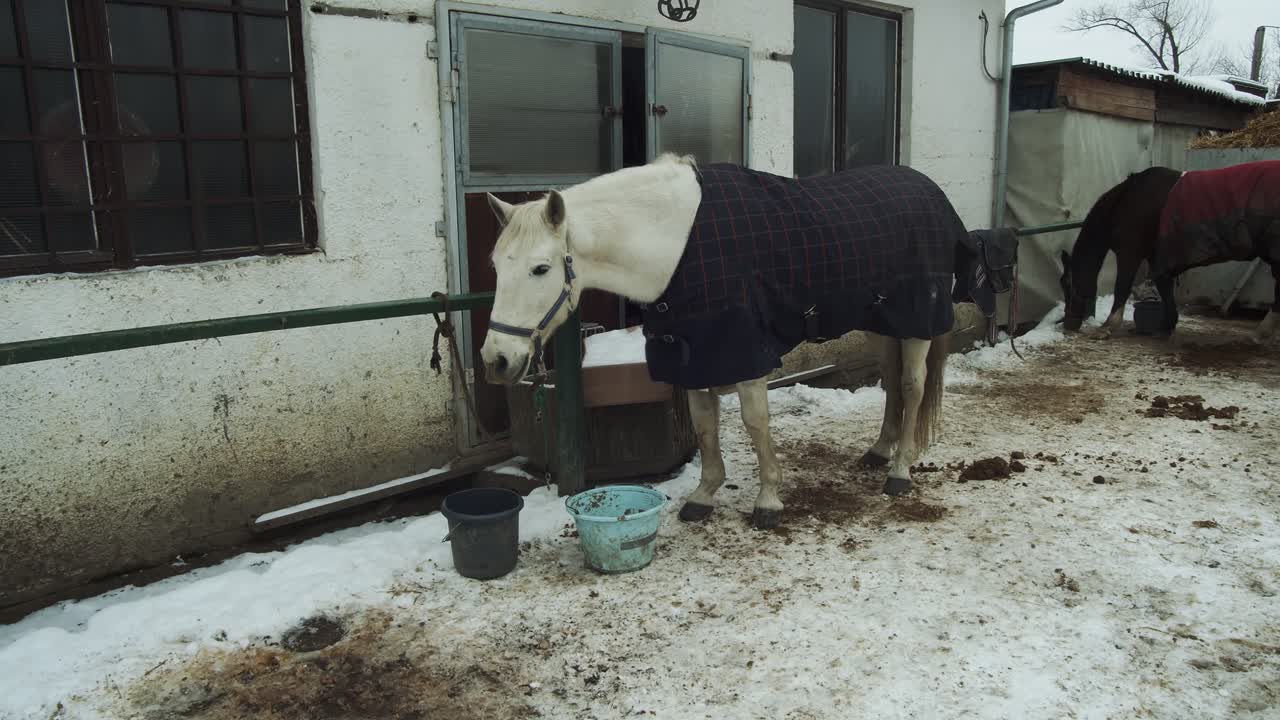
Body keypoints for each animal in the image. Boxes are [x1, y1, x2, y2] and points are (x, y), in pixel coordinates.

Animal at [478, 154, 1000, 530]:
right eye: (497, 266)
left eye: (541, 268)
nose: (496, 360)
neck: (677, 244)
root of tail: (932, 191)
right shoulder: (692, 356)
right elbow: (705, 426)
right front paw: (703, 496)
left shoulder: (745, 353)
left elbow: (755, 424)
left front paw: (768, 500)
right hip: (880, 321)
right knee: (892, 381)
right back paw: (878, 451)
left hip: (916, 323)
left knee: (912, 386)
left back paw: (900, 471)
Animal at [1060, 161, 1280, 342]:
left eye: (1067, 284)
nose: (1068, 324)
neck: (1128, 201)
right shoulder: (1156, 256)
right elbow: (1165, 288)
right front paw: (1166, 327)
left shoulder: (1130, 253)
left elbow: (1122, 287)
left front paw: (1107, 327)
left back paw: (1261, 333)